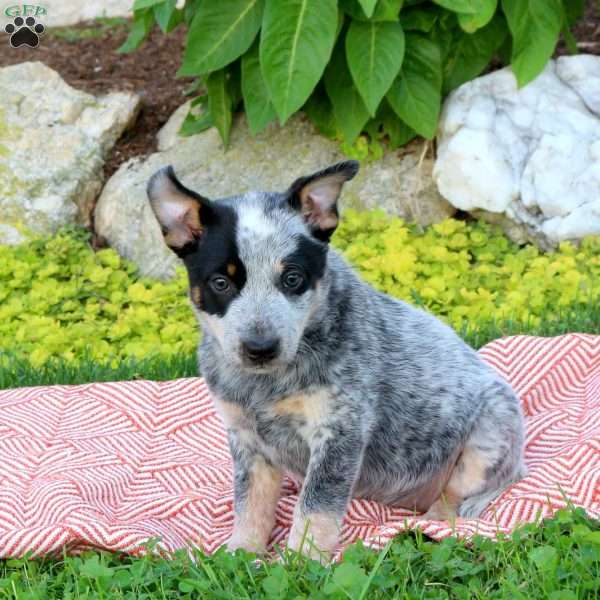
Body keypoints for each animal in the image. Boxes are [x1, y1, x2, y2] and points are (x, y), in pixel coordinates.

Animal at [148, 162, 528, 560]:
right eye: (220, 282)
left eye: (293, 278)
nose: (260, 347)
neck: (265, 386)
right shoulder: (247, 438)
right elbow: (250, 502)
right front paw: (241, 552)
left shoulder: (340, 429)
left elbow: (316, 505)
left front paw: (301, 560)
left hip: (489, 436)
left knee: (470, 490)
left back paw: (439, 518)